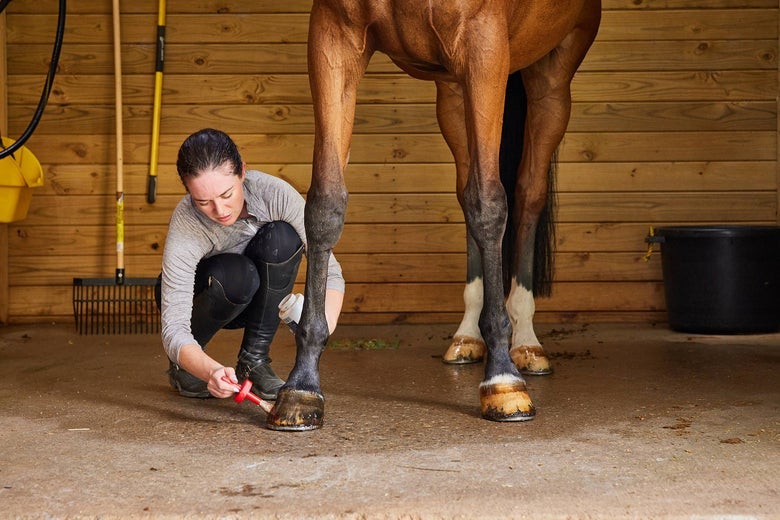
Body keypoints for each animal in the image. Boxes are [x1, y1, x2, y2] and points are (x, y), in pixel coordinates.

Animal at [266, 0, 602, 430]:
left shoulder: (485, 47)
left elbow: (490, 204)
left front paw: (503, 380)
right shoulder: (334, 36)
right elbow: (325, 204)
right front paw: (301, 386)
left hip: (551, 76)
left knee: (527, 194)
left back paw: (526, 341)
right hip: (453, 92)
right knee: (466, 191)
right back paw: (467, 336)